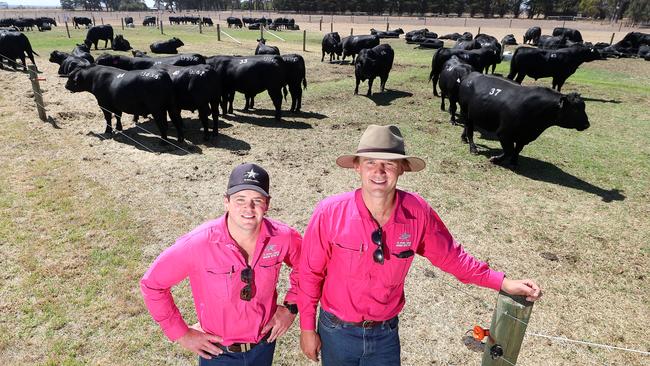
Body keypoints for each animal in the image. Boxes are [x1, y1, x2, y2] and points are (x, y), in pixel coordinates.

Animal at [456, 72, 588, 166]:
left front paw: (514, 162)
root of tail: (470, 75)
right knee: (470, 130)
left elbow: (517, 149)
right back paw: (473, 149)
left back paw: (464, 138)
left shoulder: (525, 137)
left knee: (467, 127)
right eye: (575, 110)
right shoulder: (504, 133)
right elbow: (509, 150)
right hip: (465, 111)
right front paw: (496, 160)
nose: (587, 124)